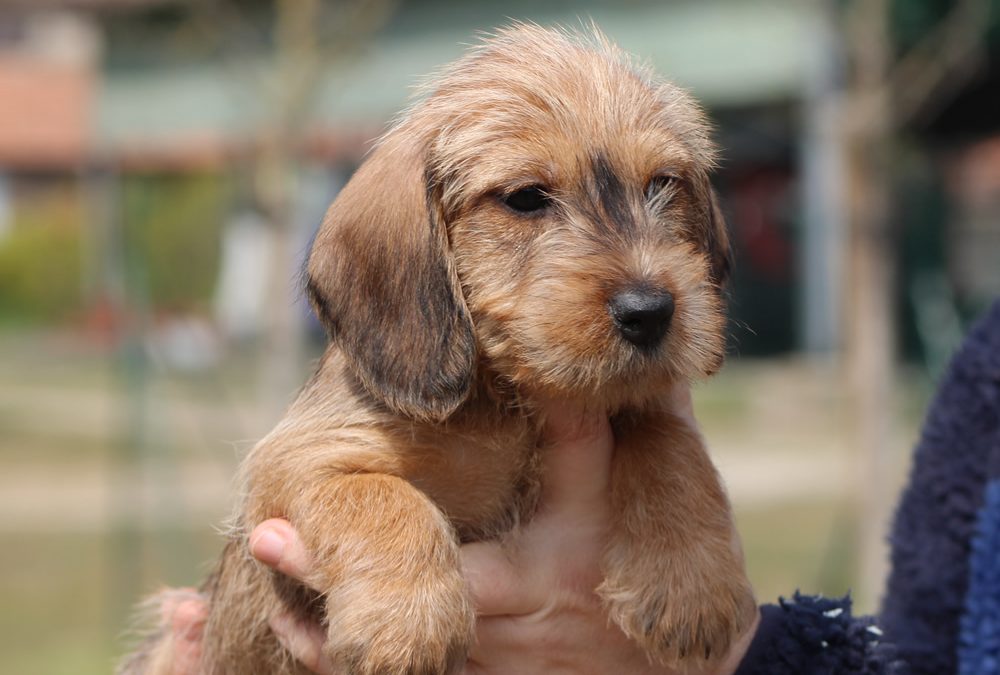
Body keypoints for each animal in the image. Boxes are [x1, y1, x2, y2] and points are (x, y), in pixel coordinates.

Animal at [121, 22, 752, 675]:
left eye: (662, 184)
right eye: (525, 197)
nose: (650, 312)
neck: (506, 403)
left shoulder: (641, 405)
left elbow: (669, 442)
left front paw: (693, 584)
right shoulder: (293, 464)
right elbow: (380, 495)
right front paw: (410, 622)